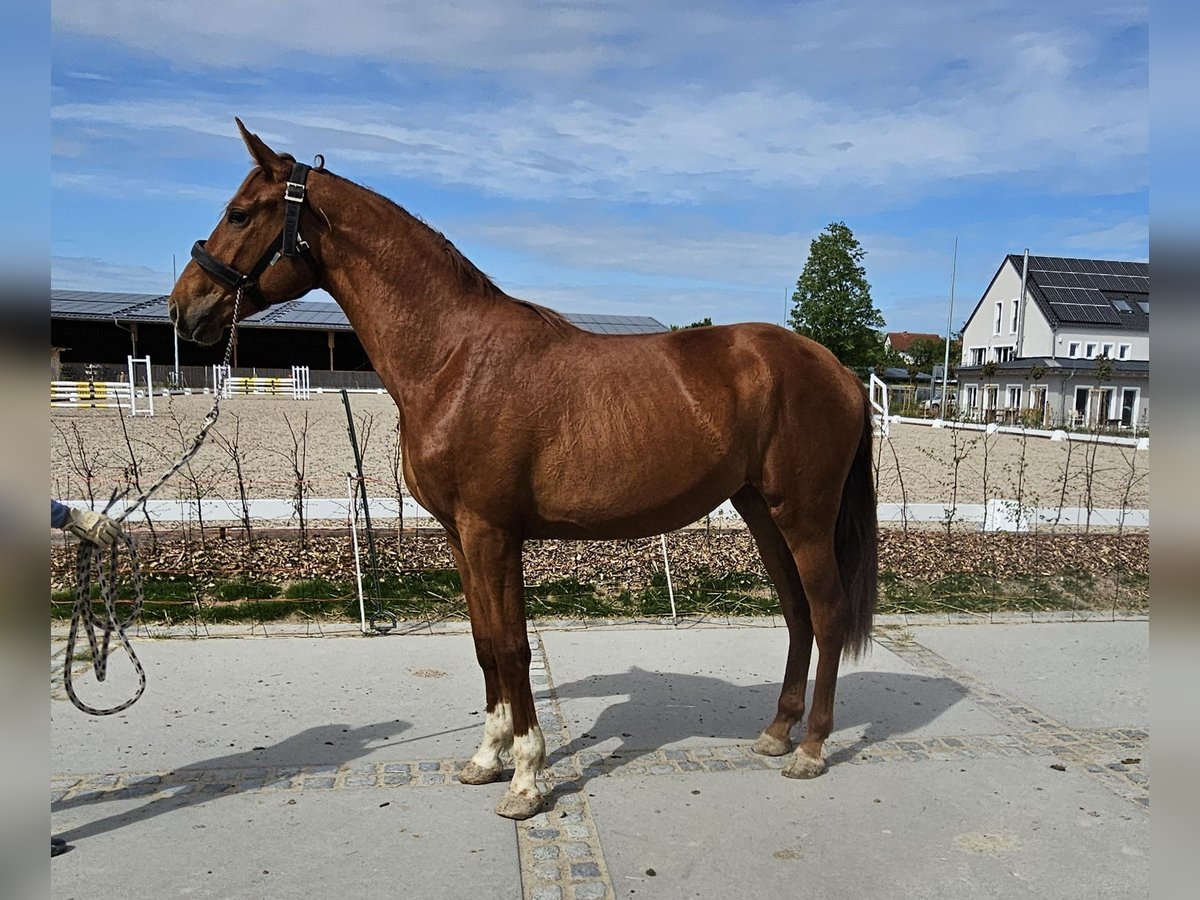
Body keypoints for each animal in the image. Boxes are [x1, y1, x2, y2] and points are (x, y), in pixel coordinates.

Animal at [169, 121, 878, 825]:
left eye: (239, 213)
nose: (183, 310)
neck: (454, 359)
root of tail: (837, 369)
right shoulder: (461, 536)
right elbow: (485, 643)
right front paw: (488, 758)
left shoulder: (492, 532)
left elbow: (512, 647)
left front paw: (527, 777)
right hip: (761, 510)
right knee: (797, 614)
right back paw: (777, 731)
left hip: (803, 516)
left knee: (828, 612)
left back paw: (810, 748)